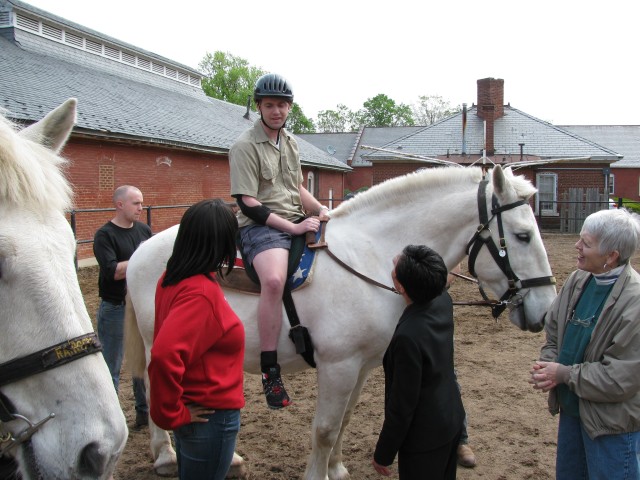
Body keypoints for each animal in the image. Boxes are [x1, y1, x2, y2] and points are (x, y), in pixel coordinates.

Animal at [125, 166, 556, 480]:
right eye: (522, 235)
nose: (546, 310)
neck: (370, 256)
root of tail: (142, 249)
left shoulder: (363, 366)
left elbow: (345, 419)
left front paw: (337, 468)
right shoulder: (338, 366)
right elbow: (325, 429)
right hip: (157, 341)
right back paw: (165, 456)